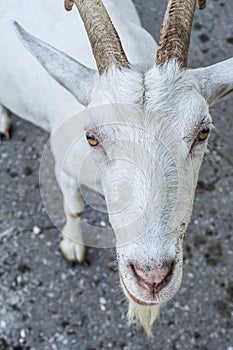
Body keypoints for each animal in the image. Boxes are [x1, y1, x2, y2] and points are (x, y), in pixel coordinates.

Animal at [0, 0, 233, 336]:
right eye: (91, 137)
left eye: (203, 132)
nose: (151, 277)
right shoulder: (63, 165)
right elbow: (74, 209)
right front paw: (72, 247)